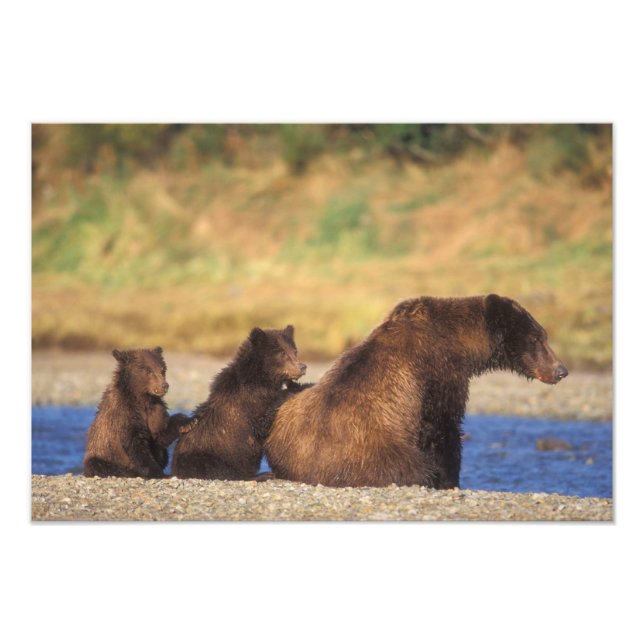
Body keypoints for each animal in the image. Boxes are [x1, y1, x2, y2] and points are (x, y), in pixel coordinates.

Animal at [83, 347, 191, 478]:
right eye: (148, 371)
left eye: (163, 370)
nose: (164, 385)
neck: (142, 398)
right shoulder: (124, 413)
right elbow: (135, 443)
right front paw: (154, 471)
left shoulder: (154, 410)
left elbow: (160, 434)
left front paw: (187, 422)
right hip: (99, 453)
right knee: (99, 464)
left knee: (163, 454)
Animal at [171, 325, 307, 480]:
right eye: (281, 352)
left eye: (295, 351)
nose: (302, 367)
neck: (261, 378)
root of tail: (174, 468)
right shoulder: (250, 402)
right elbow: (262, 421)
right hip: (206, 454)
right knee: (221, 469)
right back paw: (263, 474)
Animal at [263, 294, 568, 489]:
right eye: (537, 338)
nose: (561, 370)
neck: (461, 344)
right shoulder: (437, 374)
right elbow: (444, 427)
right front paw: (449, 480)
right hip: (379, 451)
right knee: (411, 466)